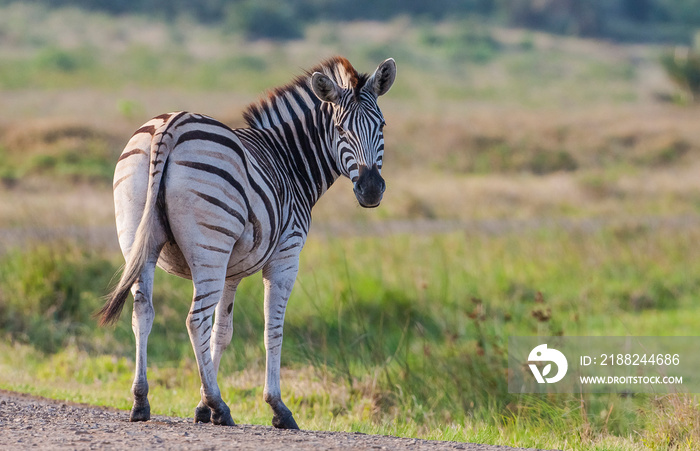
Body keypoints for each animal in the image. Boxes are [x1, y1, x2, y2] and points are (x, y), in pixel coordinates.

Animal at [96, 57, 396, 430]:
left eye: (381, 126)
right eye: (340, 130)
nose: (370, 190)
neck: (289, 161)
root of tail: (170, 126)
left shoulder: (232, 271)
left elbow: (222, 332)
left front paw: (201, 407)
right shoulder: (285, 257)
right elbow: (273, 330)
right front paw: (276, 407)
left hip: (137, 237)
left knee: (144, 311)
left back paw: (141, 401)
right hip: (210, 246)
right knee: (195, 320)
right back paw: (221, 406)